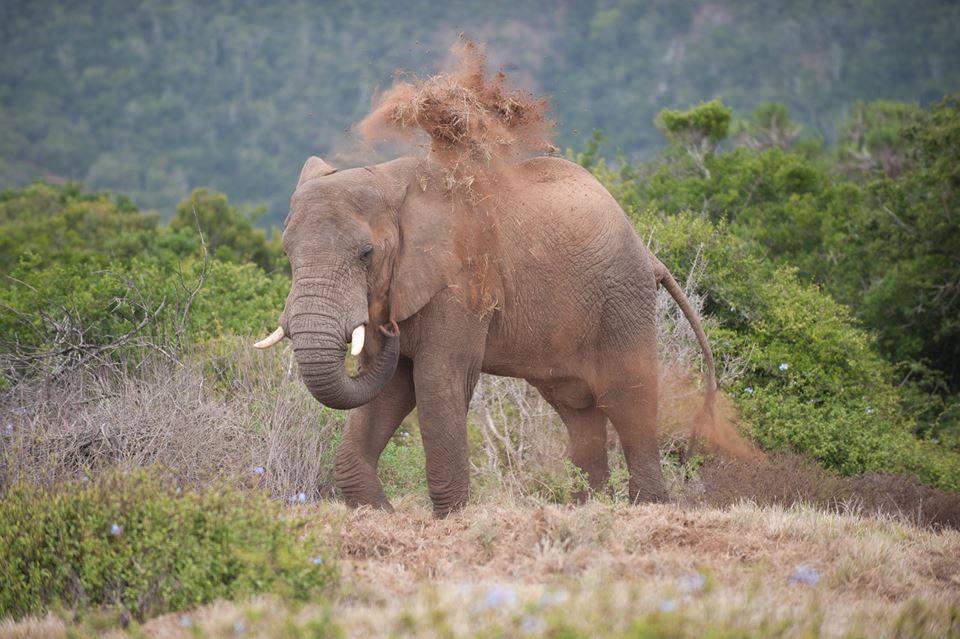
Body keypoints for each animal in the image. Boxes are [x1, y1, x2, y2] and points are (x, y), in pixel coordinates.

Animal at [256, 155, 720, 520]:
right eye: (287, 253)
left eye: (366, 254)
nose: (388, 325)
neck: (392, 184)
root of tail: (648, 252)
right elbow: (388, 388)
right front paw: (378, 512)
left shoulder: (460, 282)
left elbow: (437, 381)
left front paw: (451, 519)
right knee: (577, 409)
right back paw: (586, 509)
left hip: (622, 296)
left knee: (626, 395)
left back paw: (647, 507)